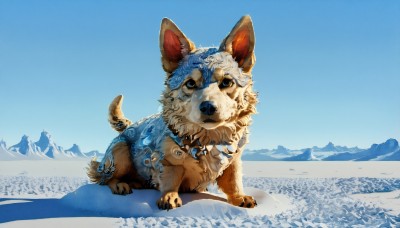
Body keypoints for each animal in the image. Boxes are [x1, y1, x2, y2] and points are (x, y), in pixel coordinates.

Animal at [87, 15, 258, 209]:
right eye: (190, 83)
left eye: (227, 82)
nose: (208, 107)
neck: (208, 139)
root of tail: (129, 126)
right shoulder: (167, 159)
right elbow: (171, 178)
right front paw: (169, 197)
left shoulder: (234, 160)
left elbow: (234, 181)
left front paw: (240, 197)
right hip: (119, 153)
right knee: (104, 178)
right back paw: (120, 184)